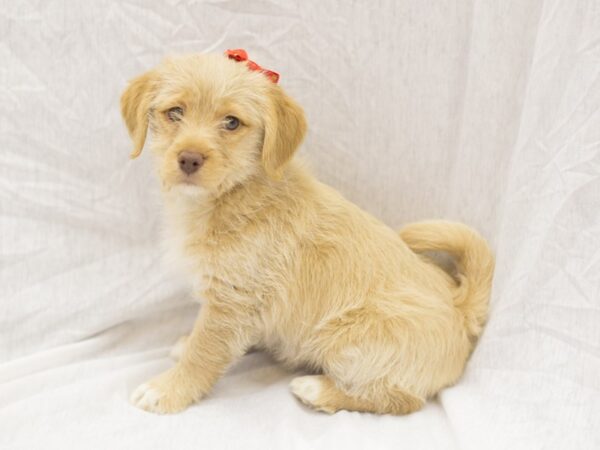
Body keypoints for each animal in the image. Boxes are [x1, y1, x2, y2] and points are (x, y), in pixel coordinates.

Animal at [120, 51, 492, 414]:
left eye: (231, 122)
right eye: (175, 112)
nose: (189, 159)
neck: (237, 193)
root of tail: (460, 308)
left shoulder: (231, 302)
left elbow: (205, 351)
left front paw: (167, 389)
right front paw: (184, 350)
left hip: (349, 342)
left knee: (402, 399)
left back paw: (317, 390)